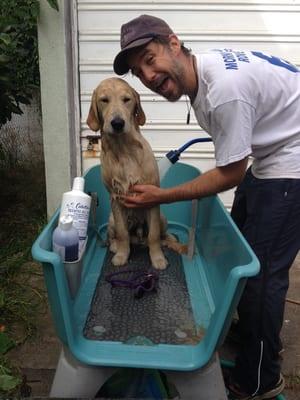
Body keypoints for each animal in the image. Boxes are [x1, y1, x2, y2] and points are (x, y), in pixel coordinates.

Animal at [86, 76, 185, 270]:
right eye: (104, 100)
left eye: (127, 99)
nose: (117, 123)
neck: (123, 150)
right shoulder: (116, 198)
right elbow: (123, 233)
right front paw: (122, 255)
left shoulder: (152, 198)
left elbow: (154, 235)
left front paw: (157, 258)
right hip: (111, 219)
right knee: (117, 236)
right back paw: (115, 246)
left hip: (162, 217)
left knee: (161, 235)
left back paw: (169, 240)